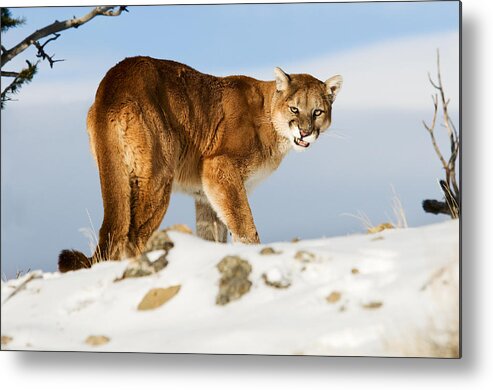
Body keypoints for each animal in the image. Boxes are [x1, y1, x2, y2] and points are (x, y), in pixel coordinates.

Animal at [57, 56, 342, 272]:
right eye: (294, 109)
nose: (305, 132)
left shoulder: (205, 193)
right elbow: (244, 224)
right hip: (156, 177)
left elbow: (213, 232)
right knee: (133, 235)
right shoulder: (219, 168)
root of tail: (113, 81)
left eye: (317, 112)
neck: (270, 117)